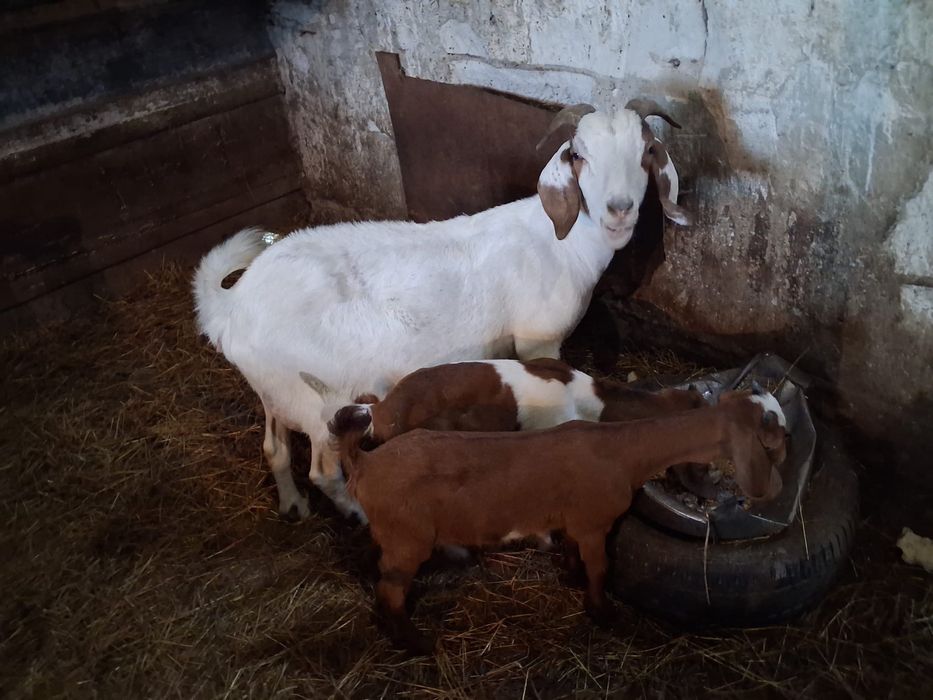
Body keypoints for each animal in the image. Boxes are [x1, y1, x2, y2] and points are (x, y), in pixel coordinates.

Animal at [193, 100, 691, 521]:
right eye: (578, 155)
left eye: (646, 152)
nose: (619, 209)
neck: (561, 240)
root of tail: (232, 306)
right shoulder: (539, 340)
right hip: (317, 401)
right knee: (322, 470)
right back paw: (354, 511)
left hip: (275, 390)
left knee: (274, 448)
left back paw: (292, 505)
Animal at [329, 389, 787, 653]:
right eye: (773, 427)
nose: (788, 443)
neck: (623, 451)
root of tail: (365, 462)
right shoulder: (593, 523)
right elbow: (600, 568)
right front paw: (603, 612)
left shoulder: (573, 521)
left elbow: (572, 551)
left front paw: (569, 575)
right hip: (409, 538)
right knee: (391, 589)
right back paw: (415, 641)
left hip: (391, 534)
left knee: (378, 569)